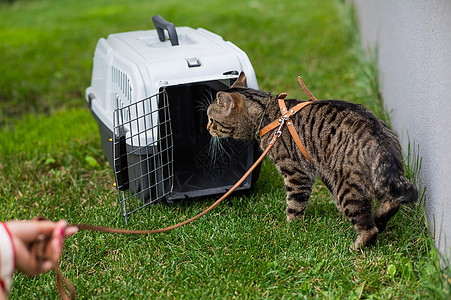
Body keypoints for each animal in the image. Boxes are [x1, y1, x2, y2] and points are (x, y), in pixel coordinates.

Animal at [207, 72, 418, 248]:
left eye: (210, 119)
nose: (207, 128)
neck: (268, 114)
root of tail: (380, 137)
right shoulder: (322, 170)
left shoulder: (297, 172)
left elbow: (294, 203)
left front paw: (290, 229)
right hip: (380, 179)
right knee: (391, 202)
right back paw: (379, 219)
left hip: (348, 186)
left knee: (368, 227)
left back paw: (357, 245)